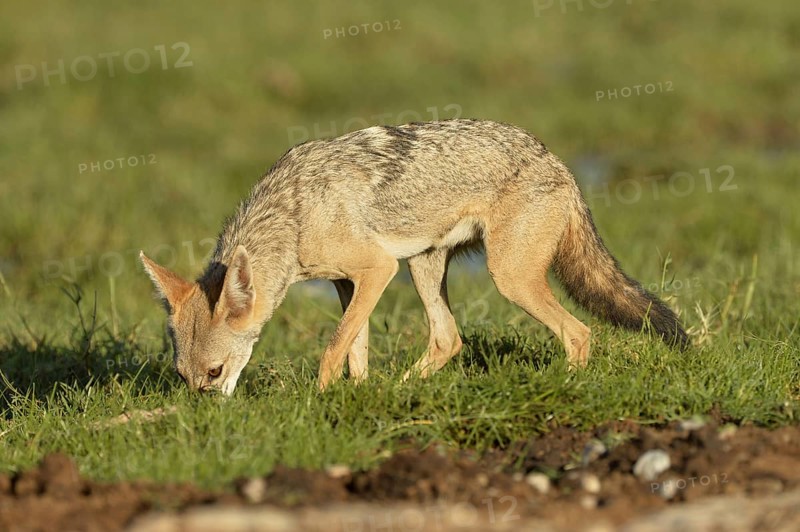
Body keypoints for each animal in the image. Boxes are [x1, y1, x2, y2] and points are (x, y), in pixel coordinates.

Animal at [140, 119, 688, 395]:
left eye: (214, 374)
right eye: (183, 378)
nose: (208, 418)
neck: (292, 217)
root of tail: (556, 161)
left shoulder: (376, 270)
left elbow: (332, 349)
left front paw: (320, 399)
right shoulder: (349, 282)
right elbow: (354, 350)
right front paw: (356, 398)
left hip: (506, 279)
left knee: (579, 333)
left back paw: (563, 388)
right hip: (425, 266)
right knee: (449, 339)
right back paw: (399, 390)